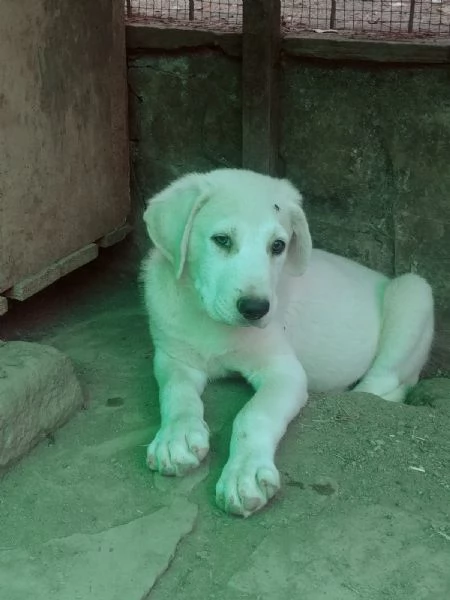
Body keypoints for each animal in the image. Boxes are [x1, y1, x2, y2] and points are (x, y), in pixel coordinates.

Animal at [142, 168, 436, 516]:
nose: (256, 309)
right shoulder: (174, 357)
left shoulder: (284, 372)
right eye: (222, 240)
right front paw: (176, 438)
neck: (211, 319)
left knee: (383, 384)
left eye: (278, 246)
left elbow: (254, 414)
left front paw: (244, 474)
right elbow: (177, 394)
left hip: (414, 293)